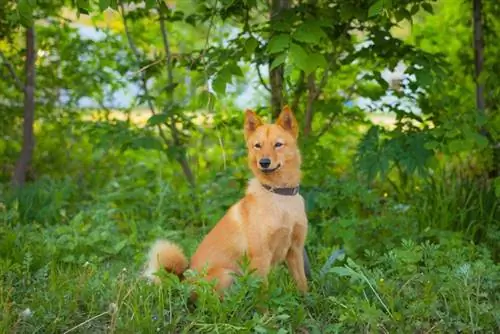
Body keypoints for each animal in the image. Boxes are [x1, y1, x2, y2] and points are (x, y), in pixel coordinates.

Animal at [143, 105, 308, 296]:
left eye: (278, 144)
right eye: (257, 146)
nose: (264, 162)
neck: (279, 195)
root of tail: (183, 282)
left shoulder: (295, 251)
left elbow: (303, 284)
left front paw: (308, 302)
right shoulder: (260, 257)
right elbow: (263, 294)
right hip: (227, 275)